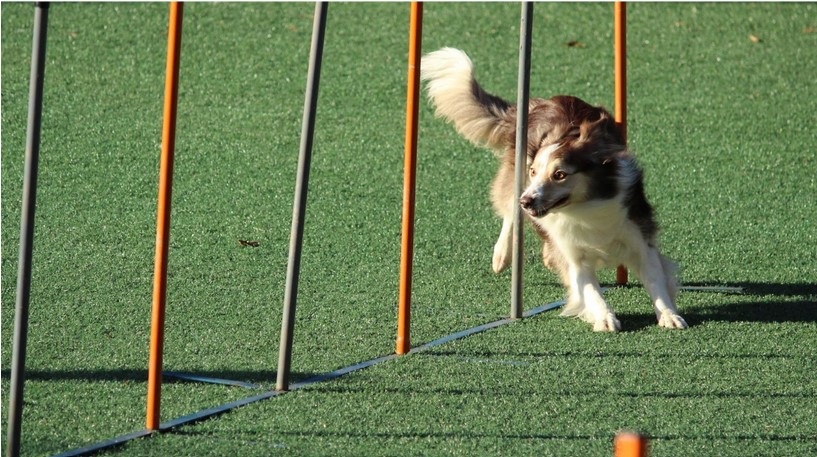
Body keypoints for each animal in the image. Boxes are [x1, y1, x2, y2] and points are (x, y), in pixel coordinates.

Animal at [418, 47, 684, 332]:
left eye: (560, 174)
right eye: (535, 171)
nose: (527, 201)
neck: (585, 208)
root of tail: (540, 102)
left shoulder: (639, 236)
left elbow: (655, 279)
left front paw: (668, 314)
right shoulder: (573, 254)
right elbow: (590, 290)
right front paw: (604, 317)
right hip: (515, 175)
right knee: (509, 211)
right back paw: (502, 255)